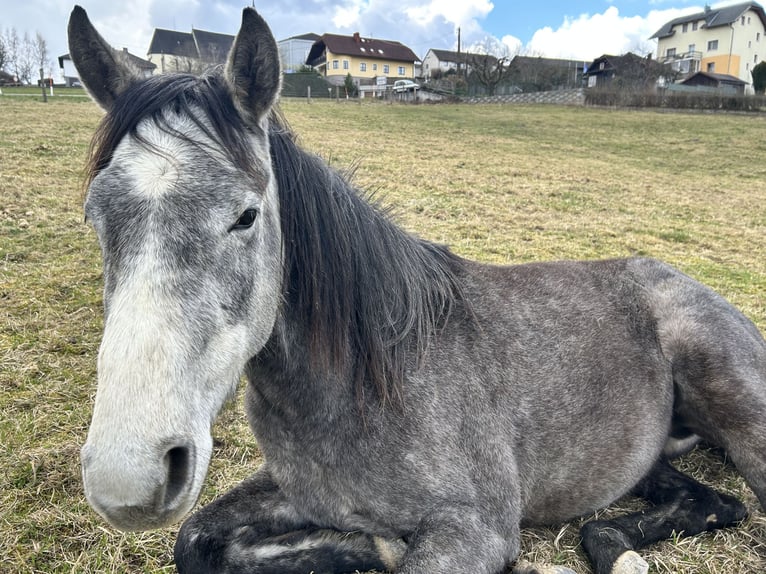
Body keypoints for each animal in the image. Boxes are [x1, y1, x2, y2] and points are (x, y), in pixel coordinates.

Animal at [68, 6, 765, 574]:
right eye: (95, 216)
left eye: (245, 216)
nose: (128, 476)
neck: (362, 384)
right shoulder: (295, 492)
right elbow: (195, 541)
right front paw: (358, 547)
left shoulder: (474, 532)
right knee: (707, 501)